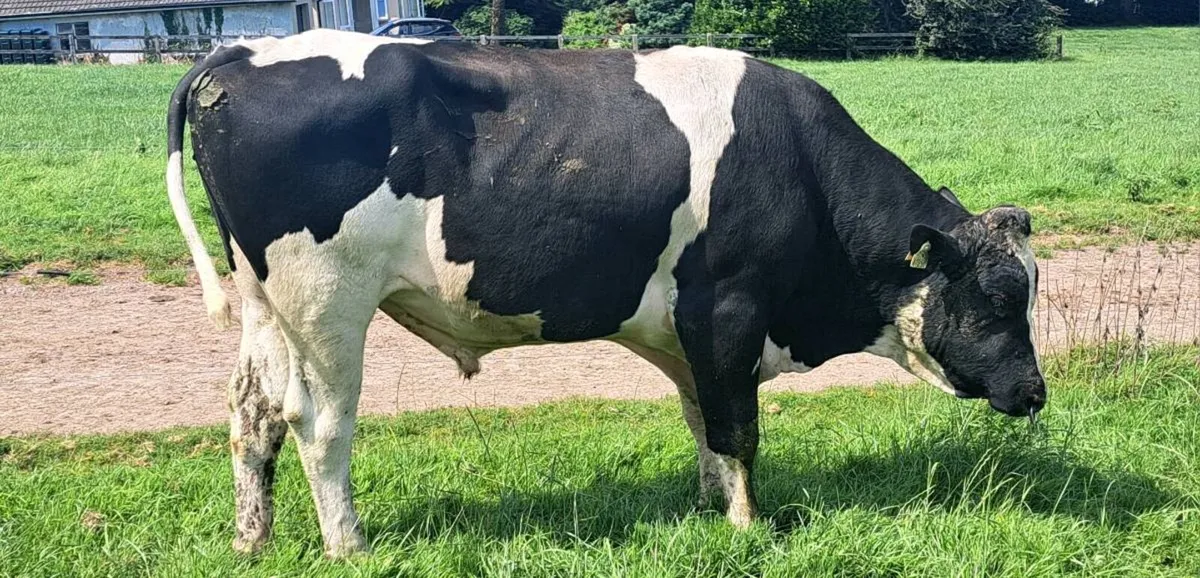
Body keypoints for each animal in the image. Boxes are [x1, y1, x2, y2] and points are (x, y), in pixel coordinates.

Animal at [165, 29, 1046, 557]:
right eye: (1003, 298)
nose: (1036, 391)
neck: (799, 165)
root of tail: (242, 50)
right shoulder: (728, 308)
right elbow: (739, 429)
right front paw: (747, 525)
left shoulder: (691, 332)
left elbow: (703, 418)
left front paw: (709, 504)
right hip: (328, 303)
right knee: (317, 424)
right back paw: (348, 546)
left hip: (265, 304)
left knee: (251, 416)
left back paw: (253, 541)